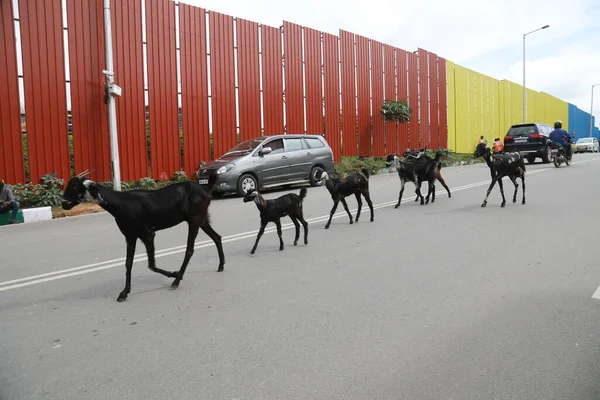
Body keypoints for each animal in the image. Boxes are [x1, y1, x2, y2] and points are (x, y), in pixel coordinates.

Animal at [61, 170, 225, 304]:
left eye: (75, 188)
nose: (64, 204)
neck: (121, 204)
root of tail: (205, 190)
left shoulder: (148, 234)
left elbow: (151, 264)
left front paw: (173, 274)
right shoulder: (130, 236)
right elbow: (128, 264)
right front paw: (124, 292)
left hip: (194, 219)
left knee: (190, 249)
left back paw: (177, 280)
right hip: (202, 219)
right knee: (217, 237)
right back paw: (221, 265)